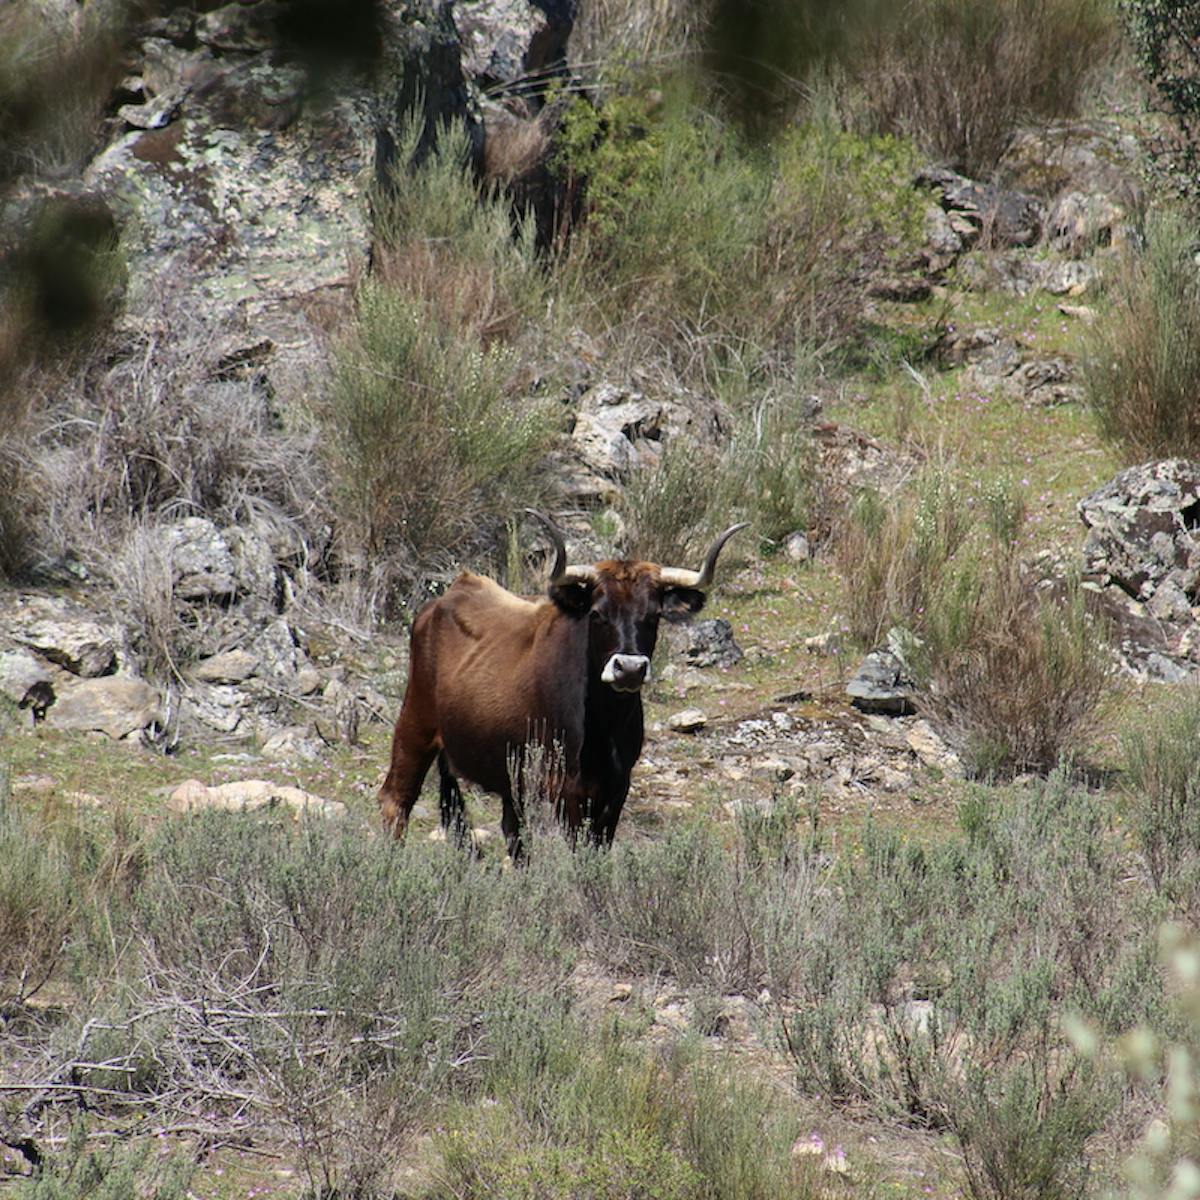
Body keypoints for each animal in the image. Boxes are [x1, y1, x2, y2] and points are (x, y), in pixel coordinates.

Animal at [379, 511, 744, 859]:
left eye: (653, 616)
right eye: (597, 613)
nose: (628, 669)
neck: (604, 724)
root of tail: (445, 598)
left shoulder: (616, 789)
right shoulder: (567, 789)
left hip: (509, 777)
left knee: (511, 833)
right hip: (415, 724)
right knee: (396, 799)